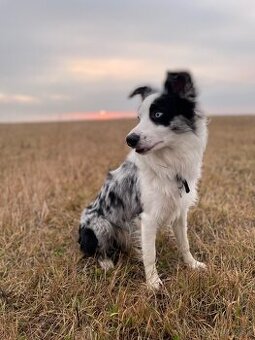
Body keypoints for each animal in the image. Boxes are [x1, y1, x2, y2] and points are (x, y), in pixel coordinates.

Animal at [78, 71, 208, 290]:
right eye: (139, 118)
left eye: (157, 115)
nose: (129, 139)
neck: (169, 163)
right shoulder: (147, 218)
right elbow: (150, 254)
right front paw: (154, 283)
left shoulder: (180, 213)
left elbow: (184, 243)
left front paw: (192, 265)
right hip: (100, 225)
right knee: (98, 250)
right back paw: (106, 263)